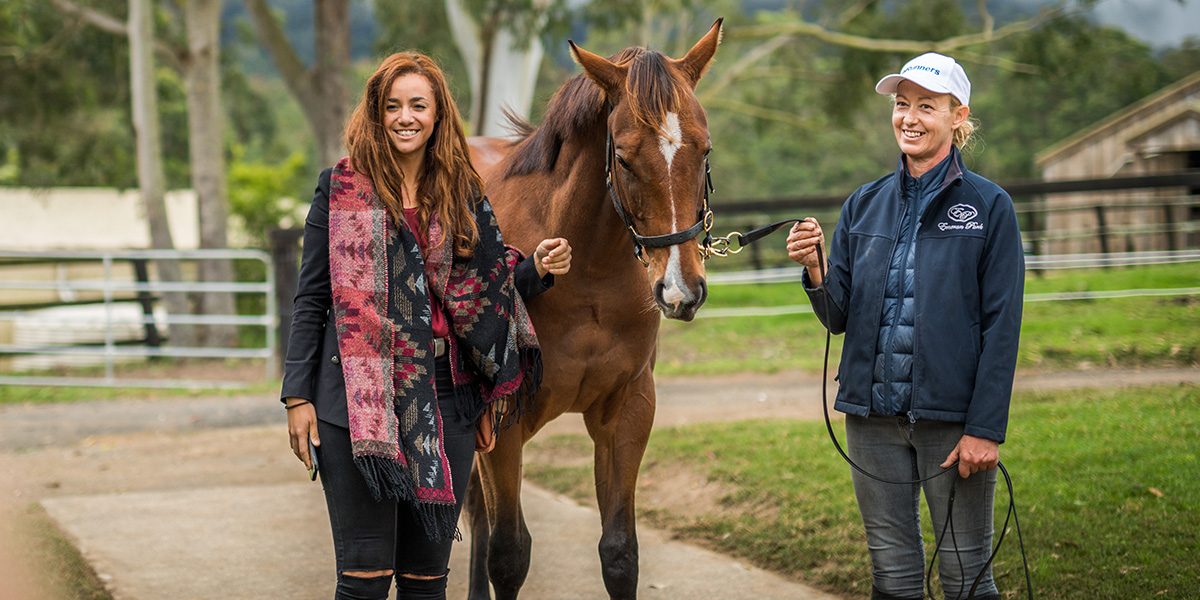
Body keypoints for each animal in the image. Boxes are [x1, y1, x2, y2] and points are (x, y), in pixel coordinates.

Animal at [464, 19, 724, 599]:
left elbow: (619, 554)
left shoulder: (627, 410)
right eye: (623, 157)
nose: (681, 289)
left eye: (704, 149)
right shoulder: (502, 422)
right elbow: (508, 554)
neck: (585, 277)